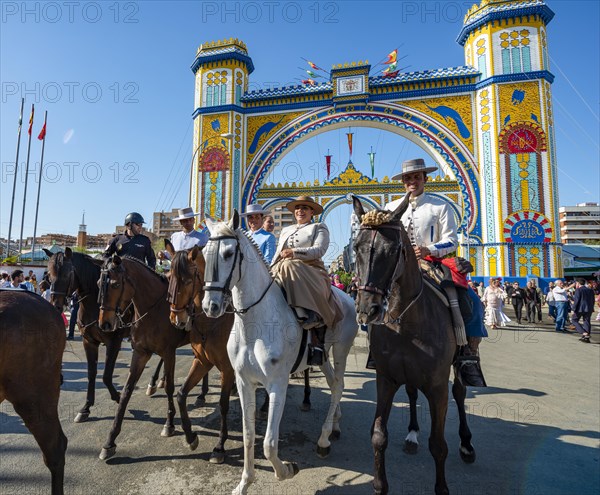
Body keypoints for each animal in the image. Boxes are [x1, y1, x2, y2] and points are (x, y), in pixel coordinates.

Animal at [202, 213, 360, 495]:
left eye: (229, 253)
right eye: (203, 253)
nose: (210, 306)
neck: (255, 324)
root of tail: (346, 296)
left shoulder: (278, 384)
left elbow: (268, 443)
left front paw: (287, 469)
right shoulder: (243, 382)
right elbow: (248, 436)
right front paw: (244, 483)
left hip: (342, 349)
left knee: (339, 385)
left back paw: (323, 439)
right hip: (322, 357)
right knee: (333, 384)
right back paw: (335, 425)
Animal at [352, 198, 474, 495]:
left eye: (394, 250)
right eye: (356, 247)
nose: (367, 310)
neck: (405, 321)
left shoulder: (438, 386)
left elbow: (438, 445)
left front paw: (442, 488)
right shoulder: (385, 378)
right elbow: (378, 435)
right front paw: (379, 485)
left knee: (460, 393)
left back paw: (466, 444)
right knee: (411, 391)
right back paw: (412, 434)